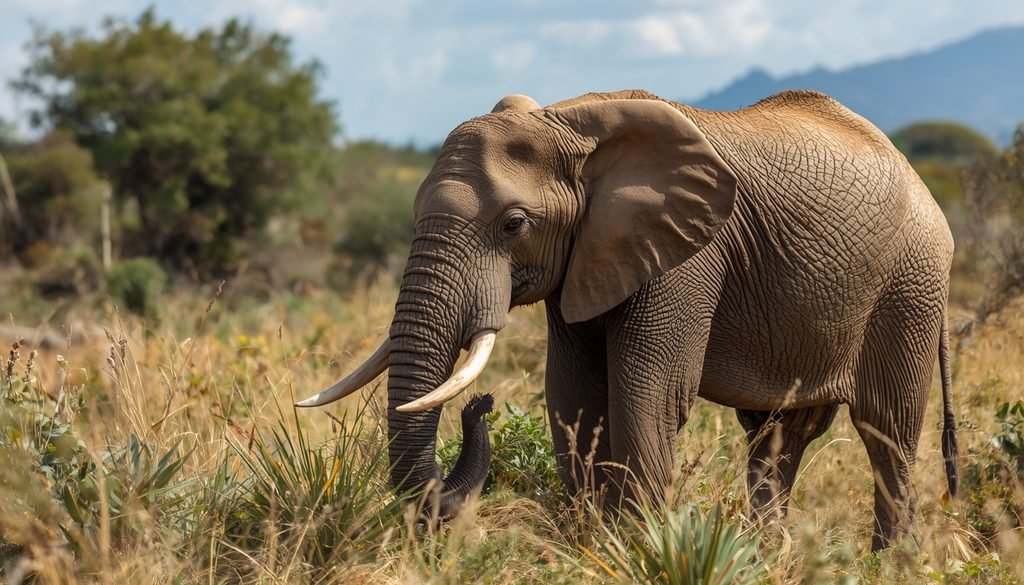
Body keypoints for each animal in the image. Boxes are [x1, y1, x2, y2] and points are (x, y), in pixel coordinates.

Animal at [297, 89, 959, 550]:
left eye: (513, 224)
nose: (479, 404)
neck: (568, 121)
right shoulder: (584, 259)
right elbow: (573, 396)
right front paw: (587, 547)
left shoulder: (689, 258)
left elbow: (649, 391)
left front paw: (633, 551)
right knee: (777, 436)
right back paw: (770, 557)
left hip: (911, 287)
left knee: (887, 433)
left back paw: (887, 562)